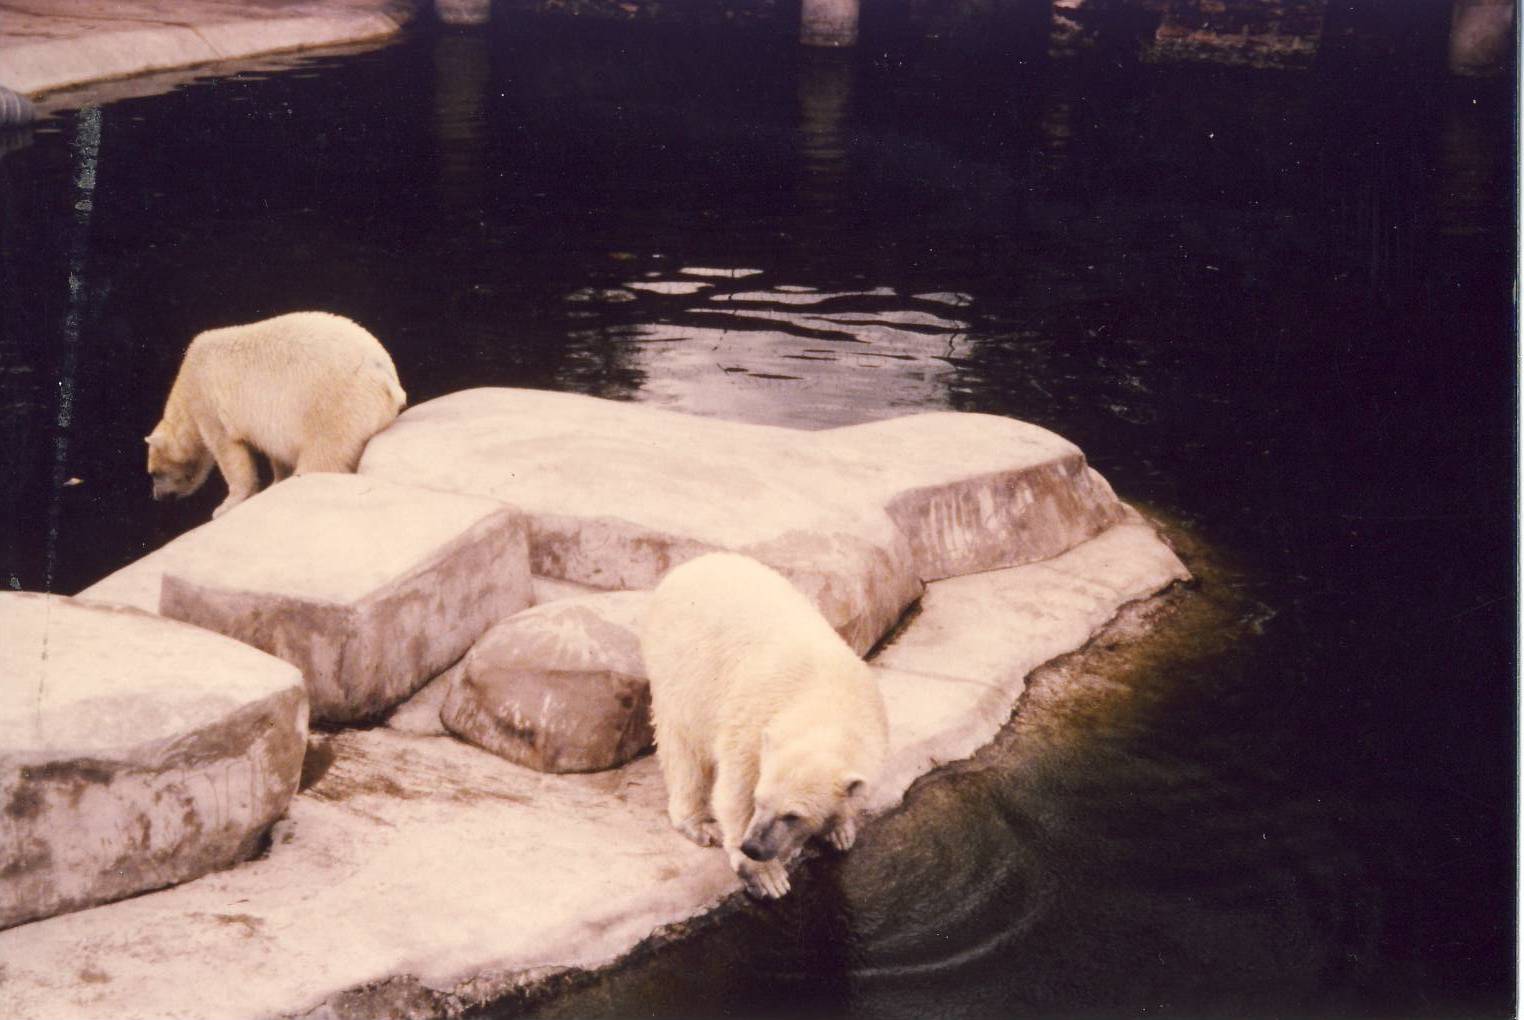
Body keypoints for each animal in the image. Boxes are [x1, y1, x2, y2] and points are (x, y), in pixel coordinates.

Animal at [146, 311, 406, 519]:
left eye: (154, 473)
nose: (157, 496)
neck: (185, 383)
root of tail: (383, 372)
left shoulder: (207, 402)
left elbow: (229, 453)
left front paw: (225, 506)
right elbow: (276, 452)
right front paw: (276, 481)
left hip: (333, 406)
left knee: (323, 455)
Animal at [641, 552, 889, 899]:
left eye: (792, 816)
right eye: (759, 799)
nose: (753, 846)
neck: (825, 697)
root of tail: (689, 566)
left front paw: (840, 830)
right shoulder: (750, 725)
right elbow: (732, 791)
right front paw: (766, 875)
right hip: (679, 668)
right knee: (683, 749)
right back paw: (698, 822)